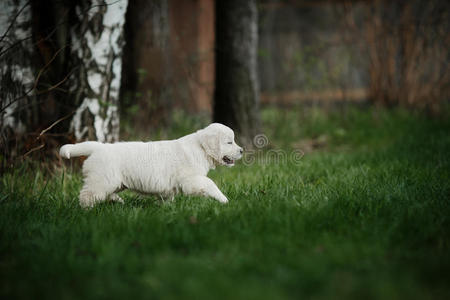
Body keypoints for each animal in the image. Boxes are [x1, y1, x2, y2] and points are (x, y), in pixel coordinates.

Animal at [60, 123, 243, 207]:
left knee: (107, 193)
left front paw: (167, 207)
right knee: (88, 195)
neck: (200, 147)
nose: (241, 151)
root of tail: (99, 147)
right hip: (102, 179)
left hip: (115, 181)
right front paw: (224, 200)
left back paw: (118, 201)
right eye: (229, 142)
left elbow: (168, 196)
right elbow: (210, 184)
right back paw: (87, 210)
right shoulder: (191, 179)